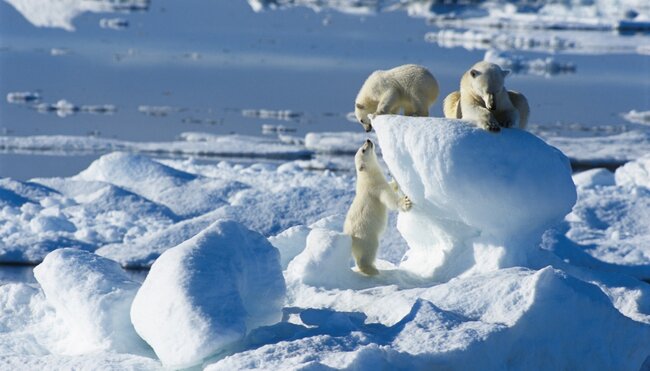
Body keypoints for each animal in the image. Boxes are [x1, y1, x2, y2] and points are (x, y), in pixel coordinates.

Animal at [340, 140, 410, 276]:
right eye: (363, 150)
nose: (368, 140)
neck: (367, 178)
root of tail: (350, 239)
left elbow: (390, 186)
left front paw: (394, 179)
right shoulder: (376, 189)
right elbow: (389, 200)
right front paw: (405, 202)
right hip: (366, 237)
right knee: (368, 252)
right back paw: (372, 270)